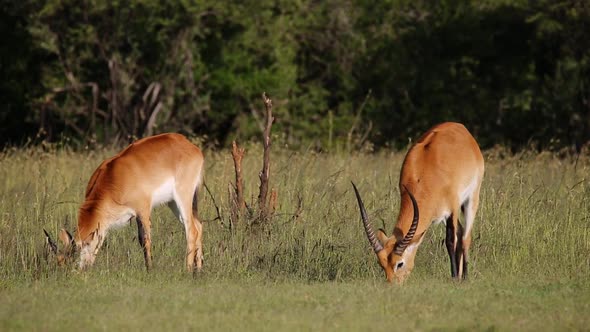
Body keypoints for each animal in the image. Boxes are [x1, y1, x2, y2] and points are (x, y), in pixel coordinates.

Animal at [44, 133, 206, 272]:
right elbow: (141, 241)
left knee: (191, 230)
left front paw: (150, 270)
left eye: (70, 259)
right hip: (173, 202)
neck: (113, 180)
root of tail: (192, 146)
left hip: (183, 195)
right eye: (59, 262)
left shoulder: (143, 209)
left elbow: (146, 240)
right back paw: (198, 271)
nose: (79, 271)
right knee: (198, 226)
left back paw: (187, 270)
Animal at [352, 122, 486, 282]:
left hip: (471, 198)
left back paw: (464, 277)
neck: (426, 175)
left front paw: (454, 278)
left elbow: (450, 241)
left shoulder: (452, 208)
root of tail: (459, 127)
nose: (392, 283)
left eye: (400, 263)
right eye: (381, 264)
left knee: (465, 237)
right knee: (460, 233)